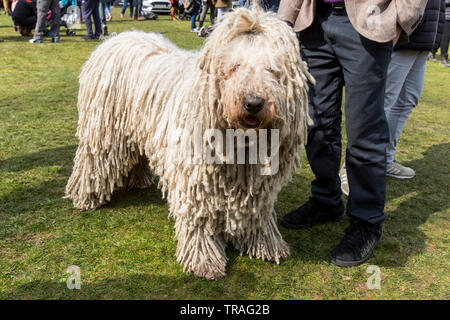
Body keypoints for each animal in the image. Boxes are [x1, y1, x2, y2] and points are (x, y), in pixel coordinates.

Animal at [66, 5, 312, 280]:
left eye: (272, 70)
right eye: (235, 67)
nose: (253, 102)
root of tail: (117, 38)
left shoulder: (255, 185)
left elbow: (256, 212)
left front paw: (265, 244)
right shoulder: (196, 179)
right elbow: (200, 219)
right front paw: (204, 261)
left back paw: (138, 180)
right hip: (102, 129)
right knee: (92, 161)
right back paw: (86, 197)